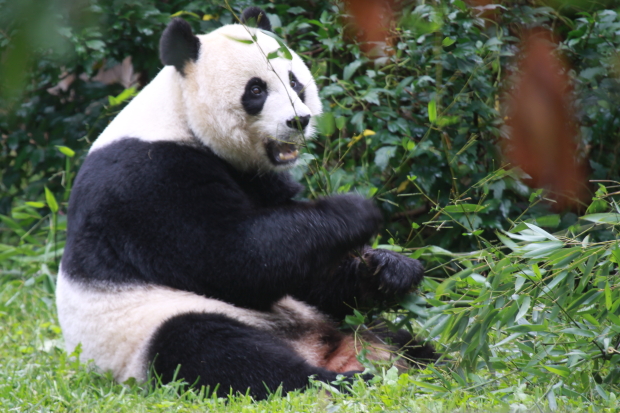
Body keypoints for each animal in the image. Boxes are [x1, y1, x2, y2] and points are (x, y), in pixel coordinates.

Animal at [57, 7, 436, 400]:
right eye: (256, 90)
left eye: (295, 82)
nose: (299, 120)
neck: (179, 115)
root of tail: (320, 351)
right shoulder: (146, 179)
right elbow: (232, 258)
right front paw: (355, 210)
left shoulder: (257, 179)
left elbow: (303, 271)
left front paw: (390, 269)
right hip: (148, 330)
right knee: (213, 349)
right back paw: (338, 381)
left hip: (339, 325)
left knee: (402, 340)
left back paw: (409, 362)